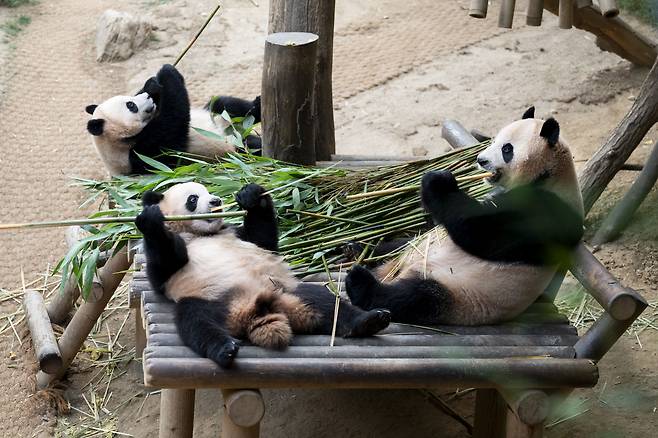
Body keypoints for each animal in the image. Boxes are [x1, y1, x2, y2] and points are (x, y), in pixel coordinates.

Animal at [85, 64, 261, 176]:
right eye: (131, 105)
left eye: (129, 98)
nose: (148, 97)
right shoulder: (146, 153)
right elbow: (174, 120)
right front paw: (167, 71)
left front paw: (152, 83)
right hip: (230, 150)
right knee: (249, 147)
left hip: (221, 119)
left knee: (225, 104)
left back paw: (257, 106)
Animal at [136, 181, 391, 367]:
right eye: (193, 198)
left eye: (209, 191)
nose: (217, 201)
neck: (203, 234)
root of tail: (253, 311)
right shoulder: (171, 270)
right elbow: (162, 266)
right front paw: (150, 219)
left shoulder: (238, 234)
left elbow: (263, 238)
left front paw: (250, 195)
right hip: (207, 298)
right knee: (196, 323)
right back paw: (224, 350)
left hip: (285, 288)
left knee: (324, 302)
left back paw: (368, 321)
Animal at [345, 107, 584, 326]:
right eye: (495, 139)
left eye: (507, 149)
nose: (481, 160)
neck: (550, 175)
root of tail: (395, 271)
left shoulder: (546, 211)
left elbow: (482, 232)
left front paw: (438, 182)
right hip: (412, 253)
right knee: (400, 246)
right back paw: (358, 249)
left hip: (459, 293)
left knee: (415, 297)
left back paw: (361, 284)